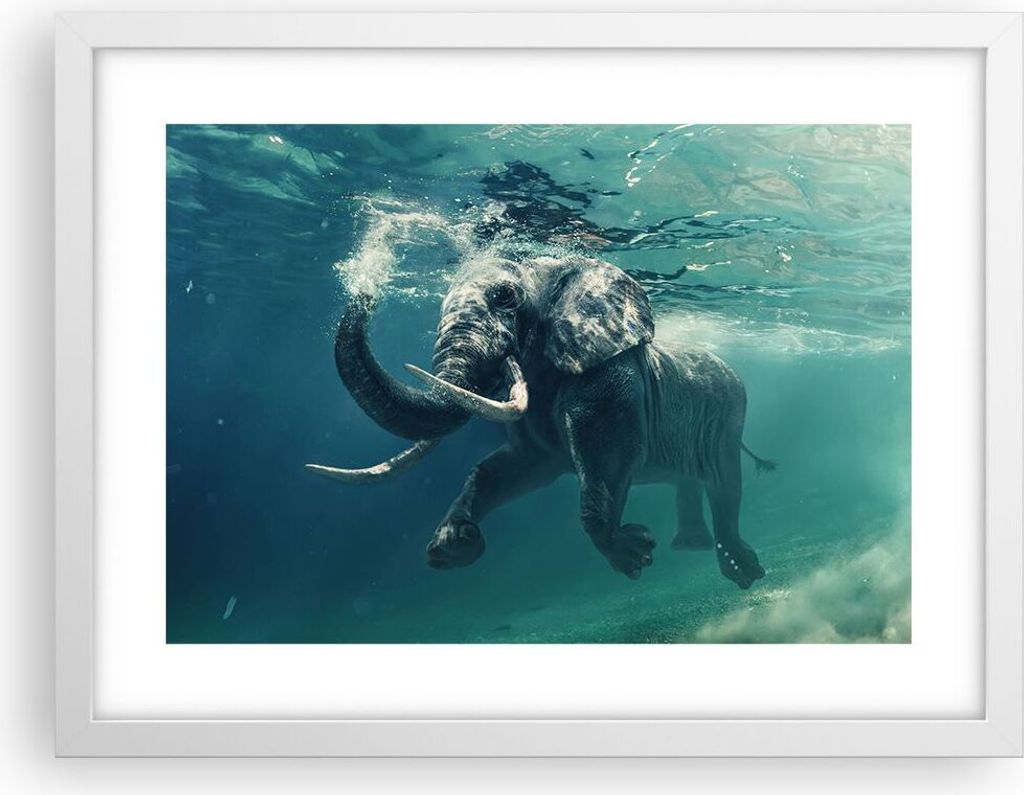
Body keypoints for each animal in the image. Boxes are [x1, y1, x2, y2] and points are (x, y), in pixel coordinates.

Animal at [307, 255, 773, 589]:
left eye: (505, 297)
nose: (366, 287)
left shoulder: (609, 377)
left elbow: (608, 457)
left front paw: (635, 555)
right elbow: (510, 468)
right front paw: (452, 546)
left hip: (729, 416)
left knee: (725, 485)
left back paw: (743, 572)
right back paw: (692, 549)